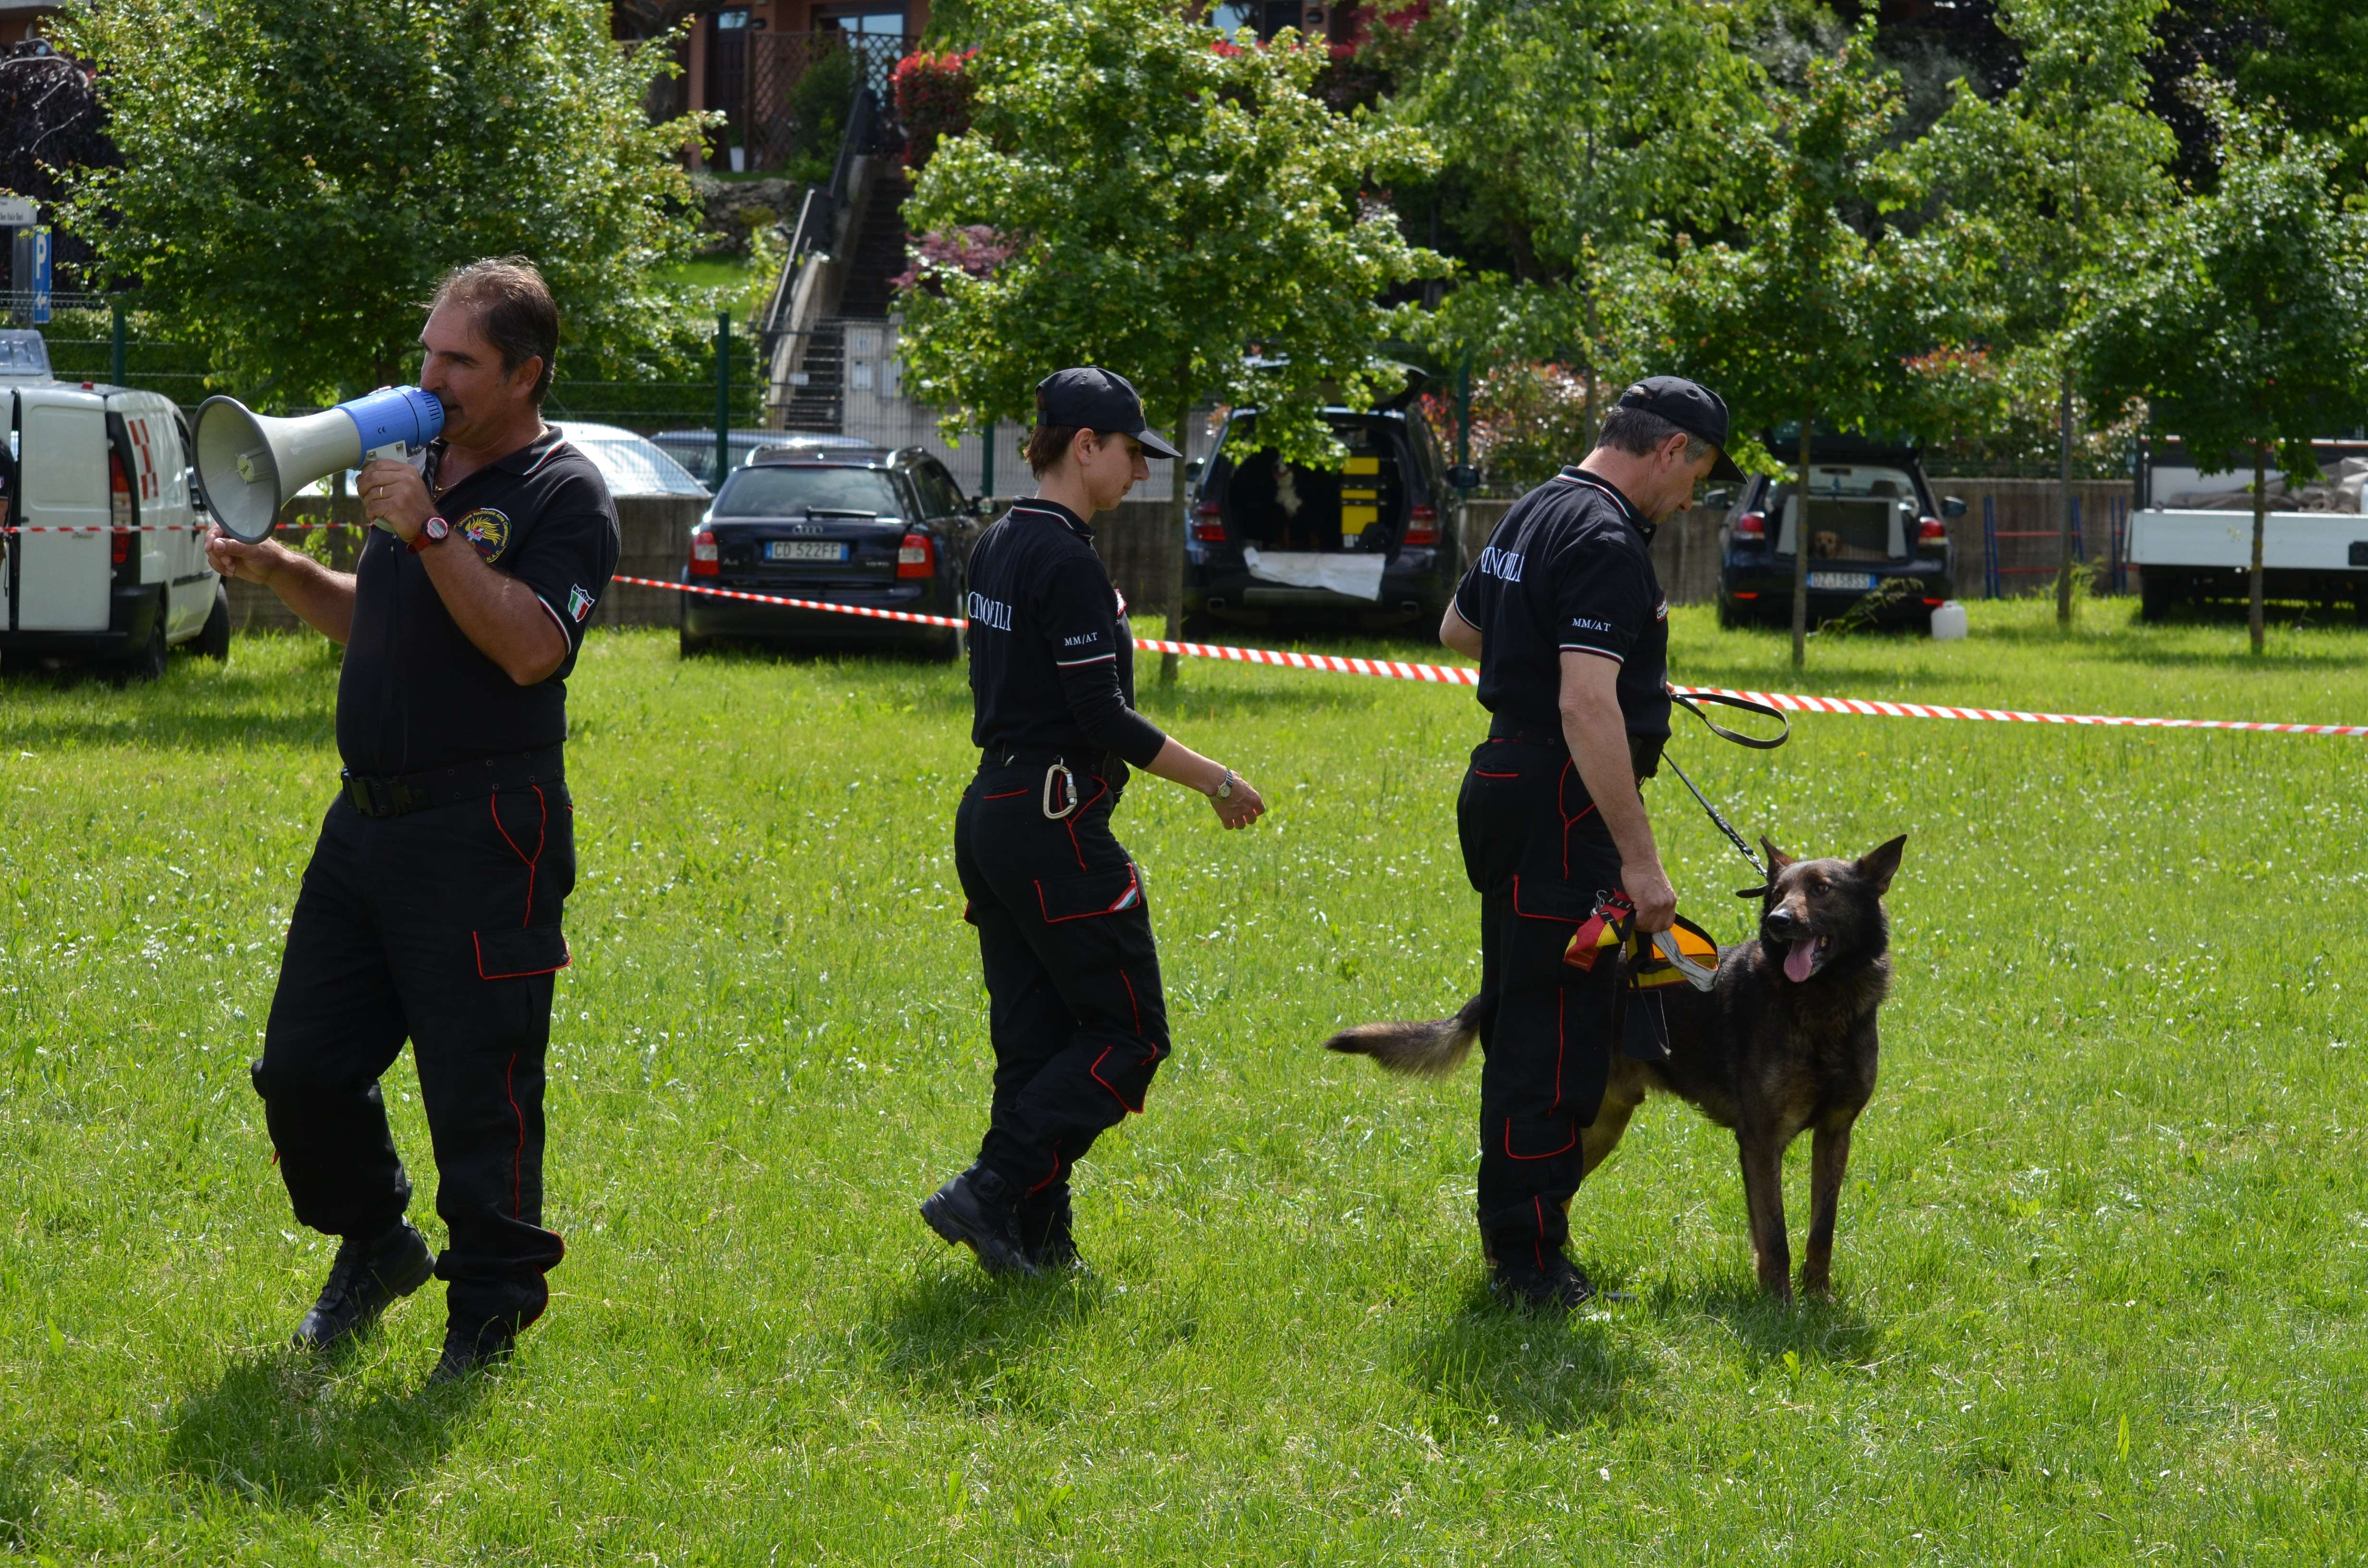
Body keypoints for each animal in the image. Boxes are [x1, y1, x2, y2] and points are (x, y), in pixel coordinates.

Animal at [1325, 835, 1905, 1302]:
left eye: (1822, 890)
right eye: (1778, 893)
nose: (1777, 923)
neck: (1820, 1005)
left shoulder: (1834, 1134)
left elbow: (1820, 1232)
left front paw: (1818, 1301)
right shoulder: (1761, 1142)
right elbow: (1776, 1236)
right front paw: (1780, 1308)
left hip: (1597, 1129)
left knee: (1553, 1197)